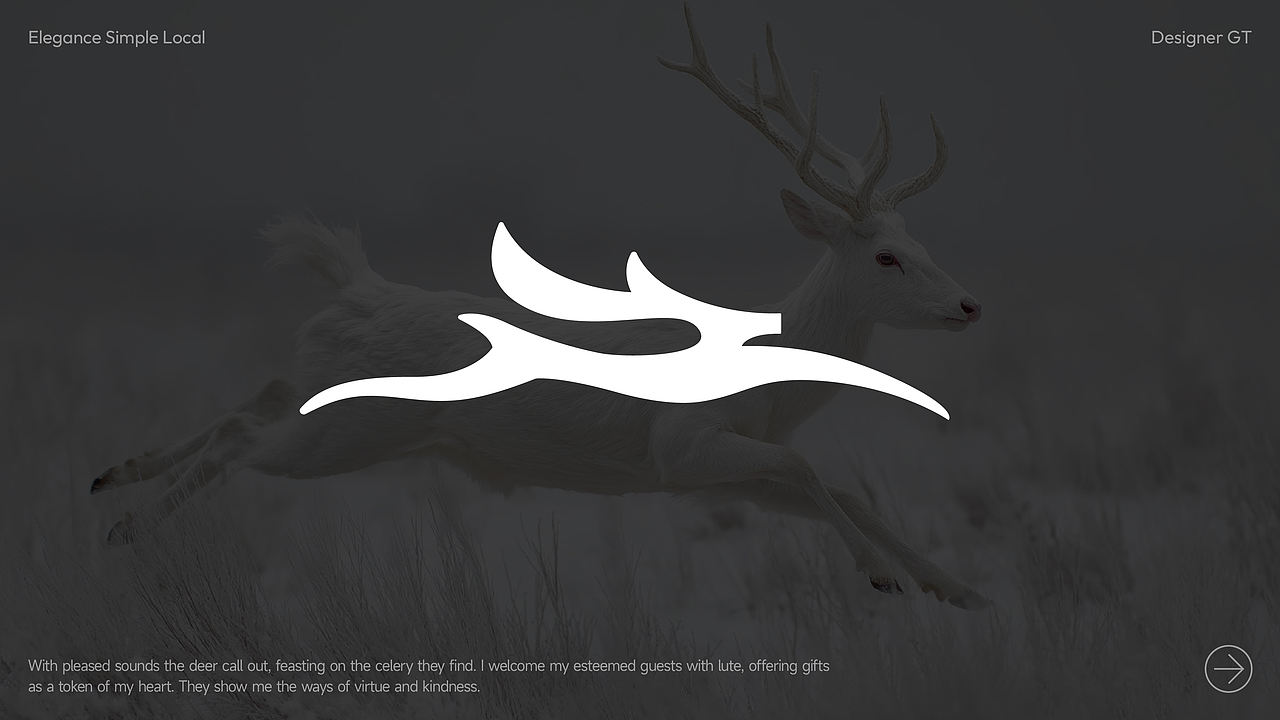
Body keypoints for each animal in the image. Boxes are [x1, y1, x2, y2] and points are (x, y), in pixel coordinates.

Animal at [89, 4, 988, 609]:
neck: (767, 384)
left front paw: (954, 587)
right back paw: (125, 524)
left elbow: (841, 488)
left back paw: (115, 480)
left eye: (920, 238)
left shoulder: (714, 478)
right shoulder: (681, 448)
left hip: (341, 411)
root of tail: (356, 284)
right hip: (354, 430)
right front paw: (886, 574)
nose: (970, 304)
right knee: (244, 437)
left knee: (262, 396)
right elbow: (812, 471)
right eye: (886, 255)